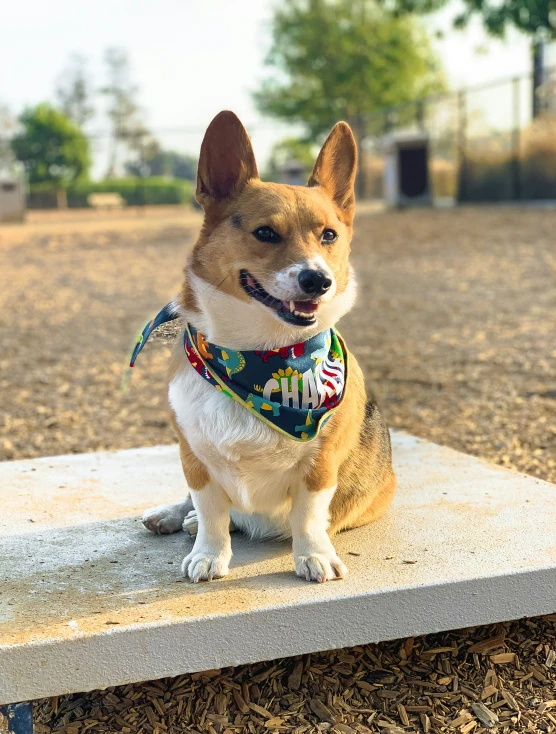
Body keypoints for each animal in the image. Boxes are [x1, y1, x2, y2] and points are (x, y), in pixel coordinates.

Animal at [140, 112, 396, 584]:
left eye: (329, 235)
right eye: (265, 233)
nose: (319, 280)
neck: (260, 354)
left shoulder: (320, 464)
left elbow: (308, 516)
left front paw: (313, 556)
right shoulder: (194, 457)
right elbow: (209, 509)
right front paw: (209, 555)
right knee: (192, 504)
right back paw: (173, 516)